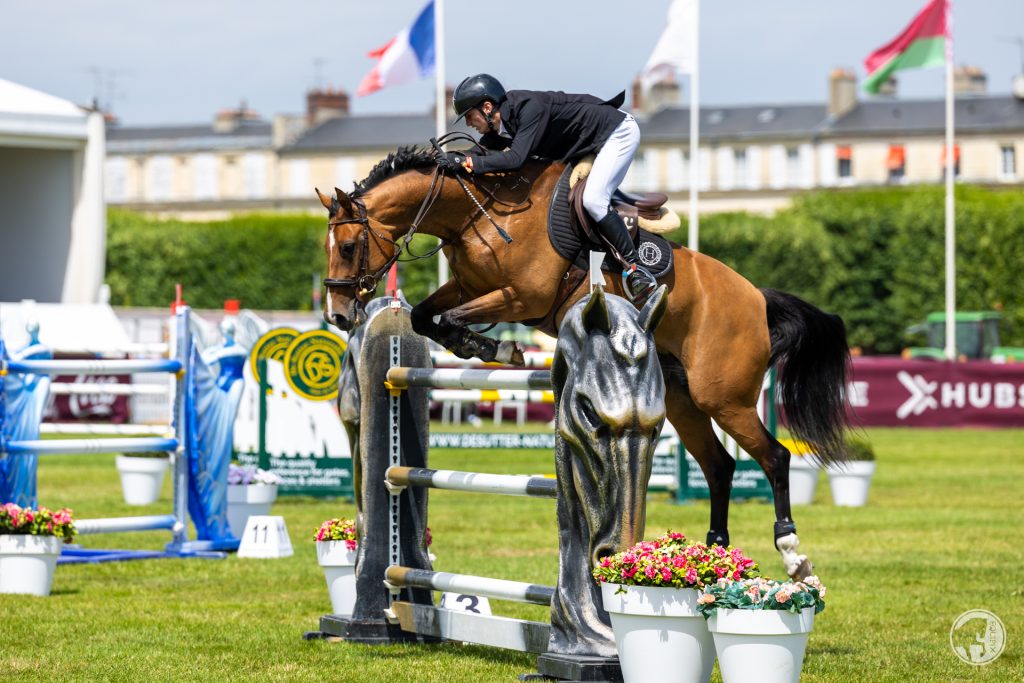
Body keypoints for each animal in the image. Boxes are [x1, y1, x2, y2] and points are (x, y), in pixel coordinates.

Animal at [315, 147, 851, 581]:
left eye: (349, 246)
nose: (338, 315)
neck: (477, 214)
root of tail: (756, 297)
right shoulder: (468, 287)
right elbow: (425, 316)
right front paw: (487, 348)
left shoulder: (521, 297)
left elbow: (448, 318)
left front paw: (494, 348)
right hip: (682, 400)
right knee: (719, 466)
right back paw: (715, 552)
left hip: (723, 397)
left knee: (775, 457)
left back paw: (792, 552)